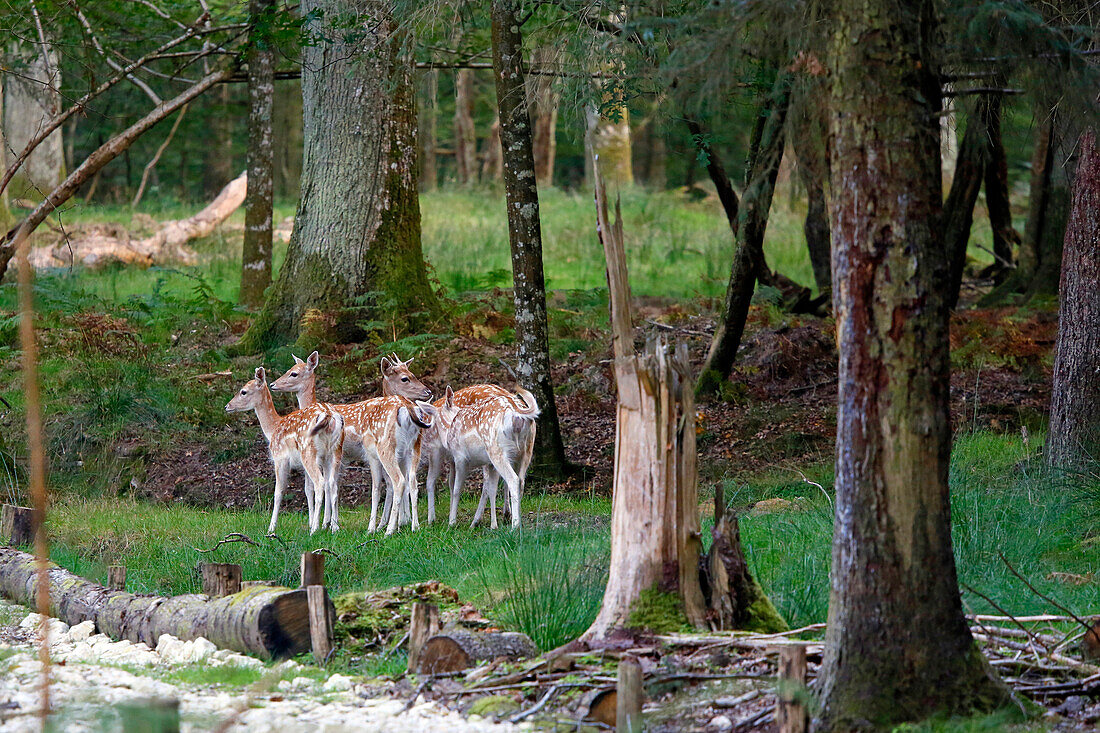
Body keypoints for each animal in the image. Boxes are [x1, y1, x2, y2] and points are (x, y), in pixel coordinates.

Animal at [223, 367, 343, 534]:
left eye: (243, 391)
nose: (227, 406)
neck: (273, 428)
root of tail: (329, 416)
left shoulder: (279, 458)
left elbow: (278, 492)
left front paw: (271, 528)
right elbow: (308, 490)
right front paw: (312, 522)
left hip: (308, 451)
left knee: (320, 483)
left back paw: (315, 530)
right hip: (335, 451)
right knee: (333, 484)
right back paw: (334, 527)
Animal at [268, 352, 435, 530]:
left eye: (294, 373)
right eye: (406, 377)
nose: (273, 384)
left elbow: (325, 485)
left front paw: (325, 523)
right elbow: (331, 484)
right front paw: (329, 522)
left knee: (396, 481)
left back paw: (390, 525)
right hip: (410, 447)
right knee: (409, 480)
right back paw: (408, 524)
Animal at [437, 383, 541, 526]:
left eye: (438, 417)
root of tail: (516, 415)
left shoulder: (460, 458)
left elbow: (456, 489)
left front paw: (451, 523)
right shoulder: (489, 464)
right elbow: (492, 489)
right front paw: (493, 525)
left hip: (497, 450)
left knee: (513, 479)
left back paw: (514, 526)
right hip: (526, 451)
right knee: (521, 481)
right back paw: (516, 521)